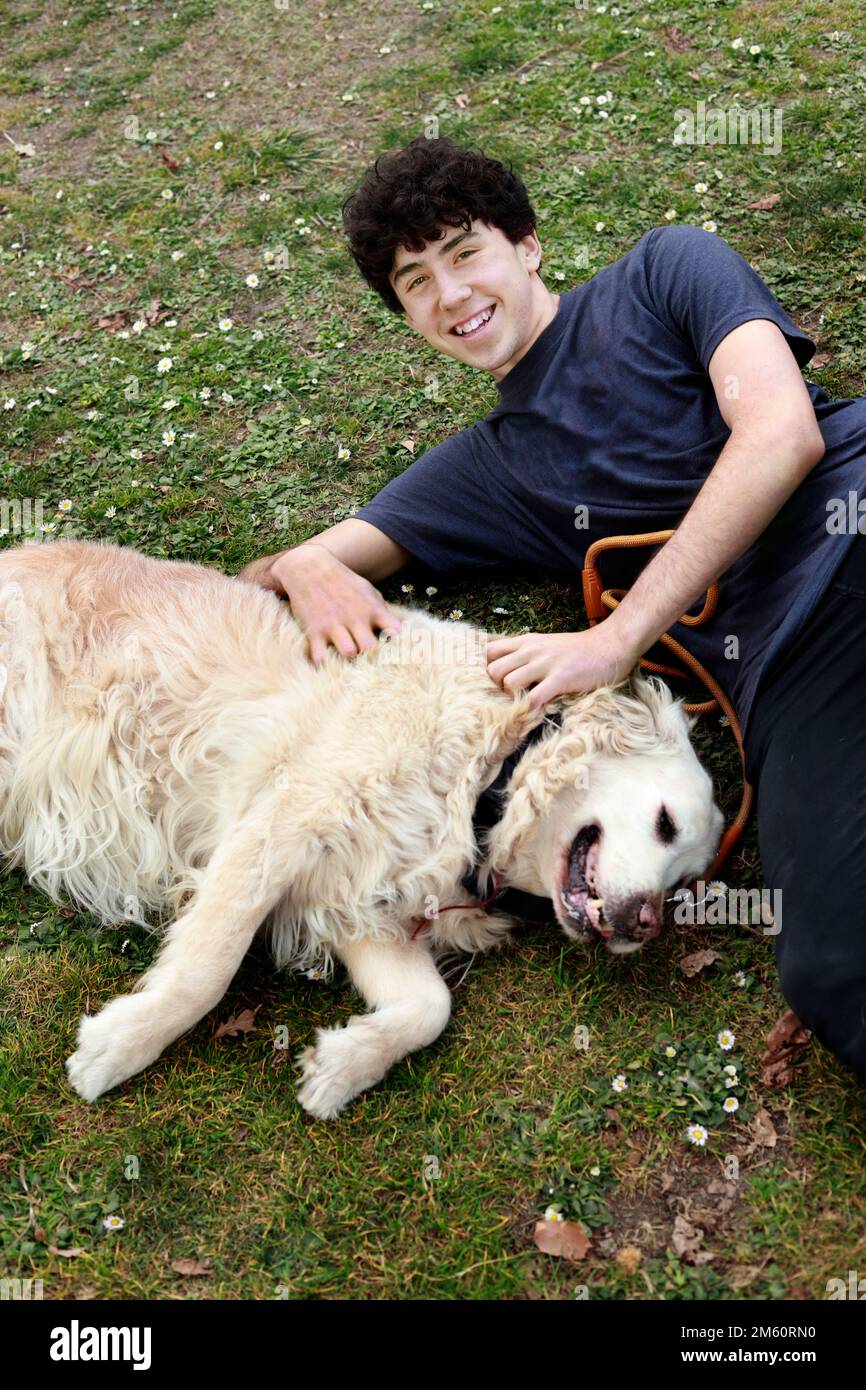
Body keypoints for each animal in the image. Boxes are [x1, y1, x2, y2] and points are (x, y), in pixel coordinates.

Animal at [0, 539, 722, 1117]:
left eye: (684, 882)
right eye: (665, 823)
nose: (645, 927)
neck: (488, 771)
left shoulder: (362, 897)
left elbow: (430, 1008)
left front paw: (342, 1067)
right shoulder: (283, 822)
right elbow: (205, 971)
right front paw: (118, 1046)